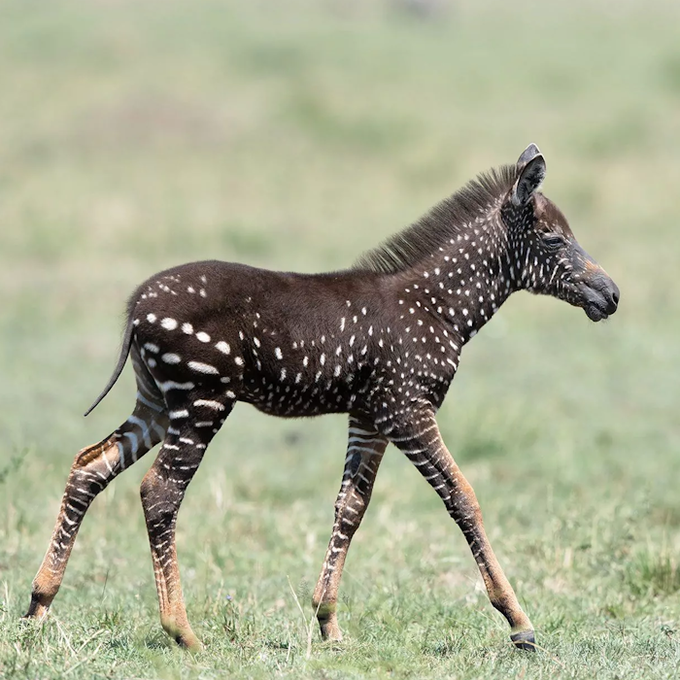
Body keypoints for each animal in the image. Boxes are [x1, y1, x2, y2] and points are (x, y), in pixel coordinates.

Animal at [24, 144, 619, 652]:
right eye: (553, 240)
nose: (611, 295)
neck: (437, 306)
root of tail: (135, 307)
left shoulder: (371, 415)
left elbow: (350, 507)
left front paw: (328, 623)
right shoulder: (408, 409)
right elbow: (463, 496)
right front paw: (518, 621)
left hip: (155, 404)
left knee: (88, 467)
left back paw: (38, 606)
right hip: (200, 402)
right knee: (159, 492)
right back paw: (182, 632)